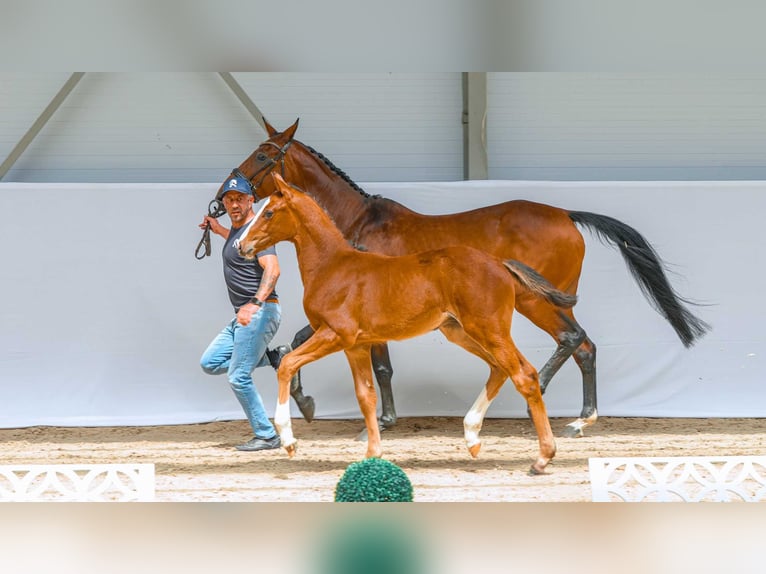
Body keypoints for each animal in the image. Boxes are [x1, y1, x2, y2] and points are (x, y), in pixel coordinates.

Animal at [219, 118, 710, 438]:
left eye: (263, 154)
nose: (226, 194)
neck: (354, 226)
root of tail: (565, 214)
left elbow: (376, 366)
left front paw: (380, 422)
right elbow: (297, 343)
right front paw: (307, 403)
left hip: (534, 302)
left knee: (571, 341)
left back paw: (539, 401)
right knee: (584, 346)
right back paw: (579, 418)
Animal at [236, 172, 579, 474]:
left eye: (269, 212)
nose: (241, 245)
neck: (332, 266)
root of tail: (500, 263)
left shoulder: (335, 335)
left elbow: (287, 364)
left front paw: (289, 440)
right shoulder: (356, 346)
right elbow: (366, 396)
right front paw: (373, 453)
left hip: (489, 330)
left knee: (525, 375)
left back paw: (542, 458)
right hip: (459, 332)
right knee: (499, 368)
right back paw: (472, 437)